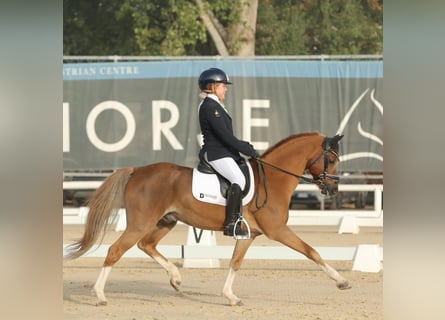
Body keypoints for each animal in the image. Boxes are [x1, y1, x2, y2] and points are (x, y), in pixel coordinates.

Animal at [66, 132, 350, 304]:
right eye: (332, 158)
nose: (334, 189)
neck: (273, 178)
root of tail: (137, 171)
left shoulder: (248, 235)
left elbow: (235, 262)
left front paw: (230, 296)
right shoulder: (277, 230)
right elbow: (311, 251)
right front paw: (341, 281)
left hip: (166, 221)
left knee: (146, 245)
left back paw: (176, 279)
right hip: (141, 223)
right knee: (115, 250)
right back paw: (100, 295)